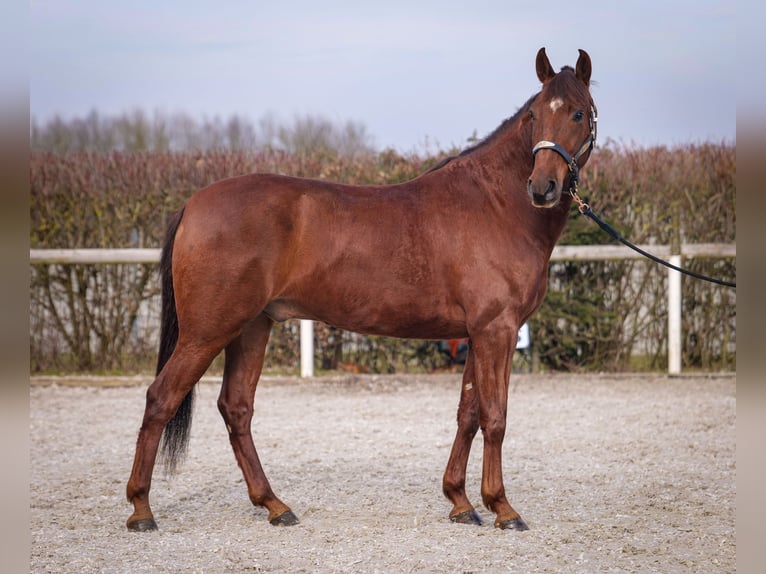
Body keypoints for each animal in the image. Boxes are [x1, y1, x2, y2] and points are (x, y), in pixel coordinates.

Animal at [127, 47, 600, 532]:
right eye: (534, 115)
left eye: (578, 113)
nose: (542, 187)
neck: (495, 204)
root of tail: (192, 204)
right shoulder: (496, 330)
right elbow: (495, 417)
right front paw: (502, 507)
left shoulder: (478, 333)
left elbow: (467, 414)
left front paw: (460, 501)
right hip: (207, 332)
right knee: (161, 399)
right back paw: (141, 509)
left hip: (251, 327)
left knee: (236, 408)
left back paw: (274, 505)